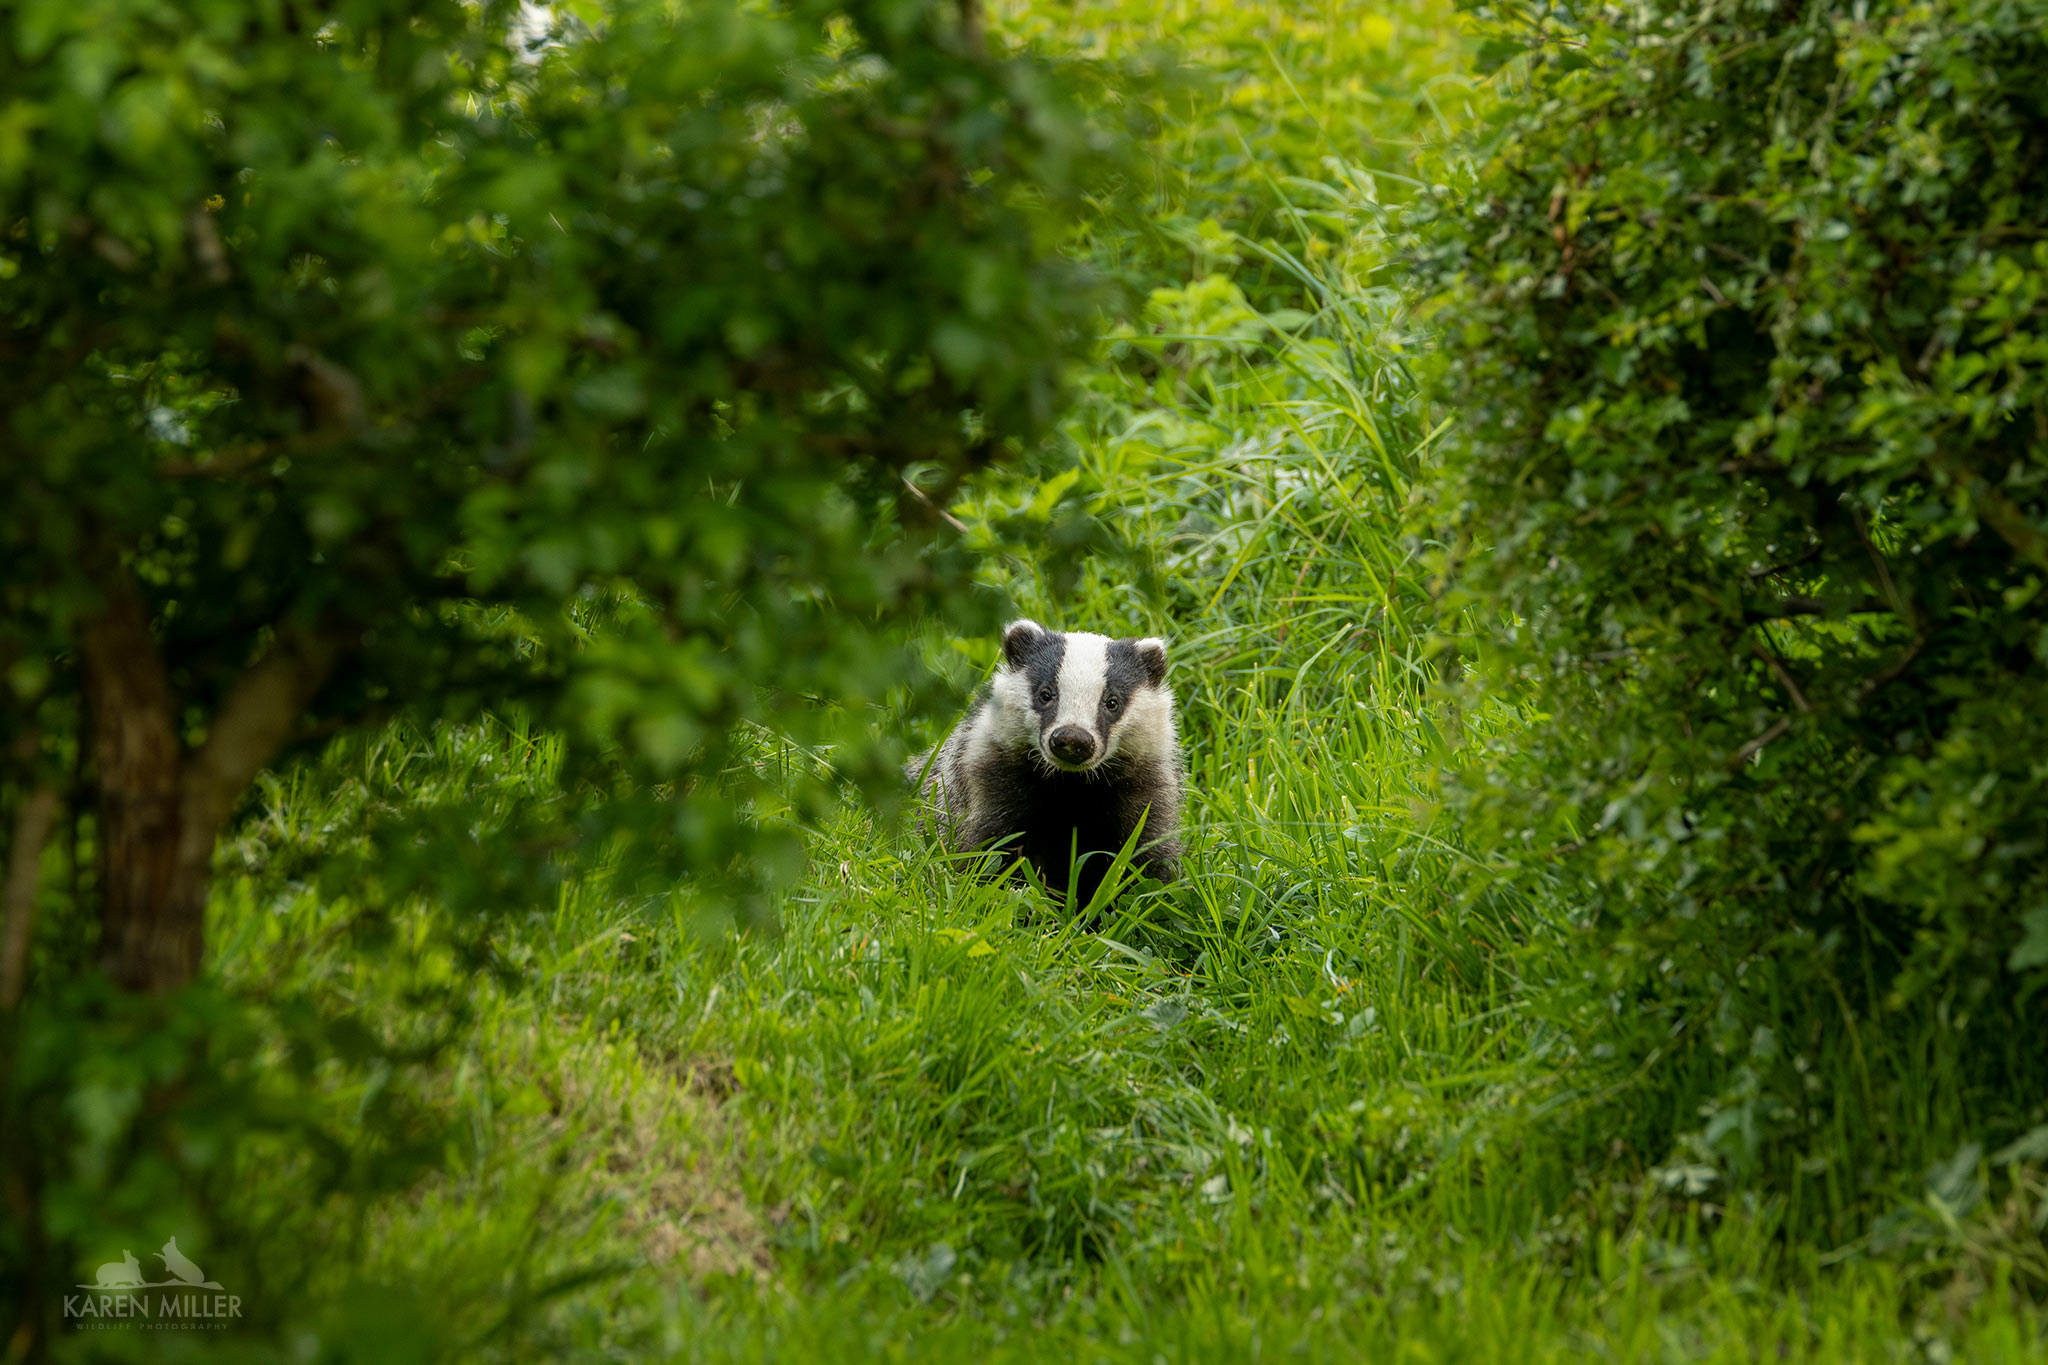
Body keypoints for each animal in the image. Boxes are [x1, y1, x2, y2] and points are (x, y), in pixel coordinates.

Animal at [907, 619, 1184, 905]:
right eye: (1045, 694)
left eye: (1112, 702)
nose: (1073, 738)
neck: (1071, 785)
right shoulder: (994, 778)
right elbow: (987, 851)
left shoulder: (1142, 788)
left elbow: (1146, 857)